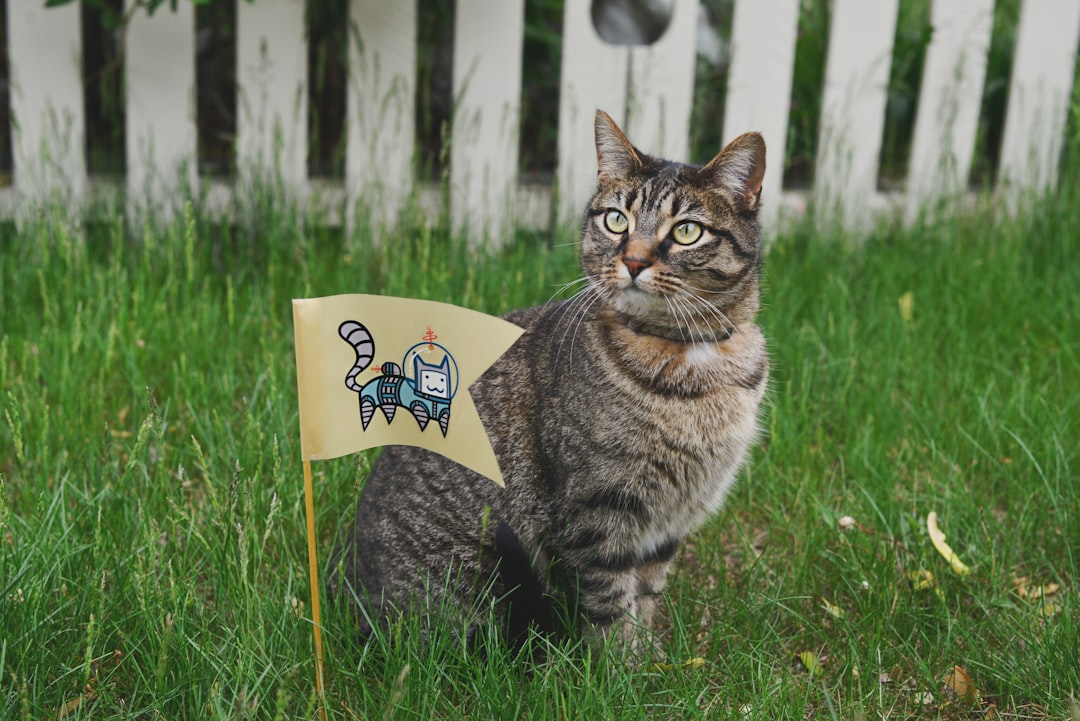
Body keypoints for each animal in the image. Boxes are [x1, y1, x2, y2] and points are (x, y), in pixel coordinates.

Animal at [328, 108, 768, 651]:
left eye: (687, 231)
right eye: (616, 220)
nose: (634, 261)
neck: (692, 357)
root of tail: (347, 594)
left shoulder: (669, 521)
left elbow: (647, 592)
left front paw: (652, 655)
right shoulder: (597, 508)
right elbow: (610, 602)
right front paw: (625, 666)